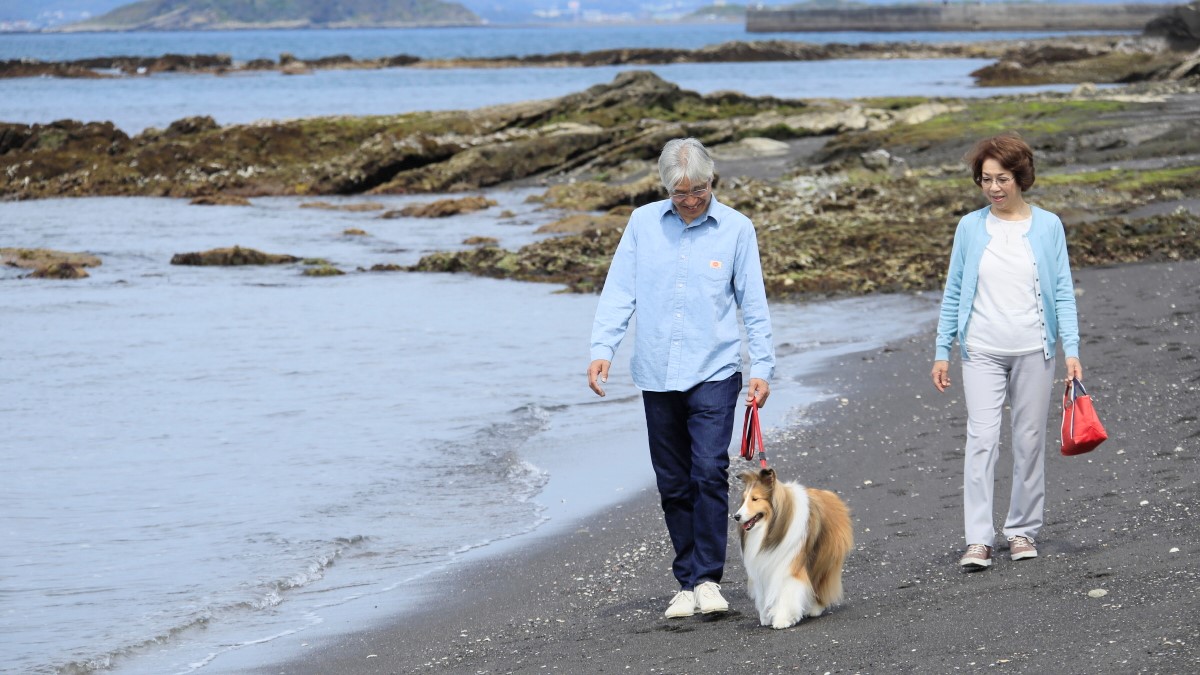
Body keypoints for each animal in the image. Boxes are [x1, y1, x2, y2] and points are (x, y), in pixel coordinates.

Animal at [729, 468, 854, 624]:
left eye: (755, 499)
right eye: (744, 499)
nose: (736, 516)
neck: (769, 530)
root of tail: (831, 496)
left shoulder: (789, 564)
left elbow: (787, 591)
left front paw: (782, 619)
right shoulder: (764, 566)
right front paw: (766, 616)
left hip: (823, 556)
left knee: (819, 581)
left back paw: (816, 608)